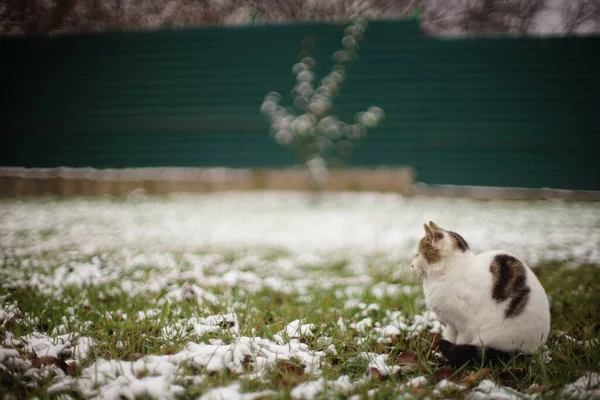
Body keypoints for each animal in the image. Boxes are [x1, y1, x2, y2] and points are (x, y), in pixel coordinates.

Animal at [410, 220, 552, 368]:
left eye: (417, 255)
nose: (411, 265)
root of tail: (536, 349)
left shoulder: (464, 326)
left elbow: (459, 342)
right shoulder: (451, 325)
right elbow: (451, 337)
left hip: (495, 336)